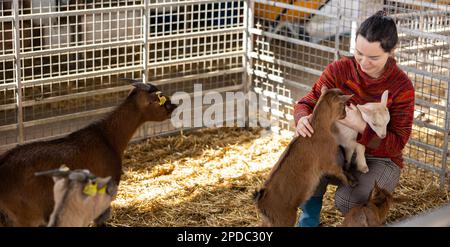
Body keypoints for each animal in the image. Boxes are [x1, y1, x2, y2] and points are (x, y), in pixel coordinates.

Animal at [253, 86, 352, 226]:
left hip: (268, 221)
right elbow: (340, 171)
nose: (345, 114)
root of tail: (261, 200)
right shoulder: (328, 161)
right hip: (284, 219)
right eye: (343, 105)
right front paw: (351, 182)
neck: (318, 127)